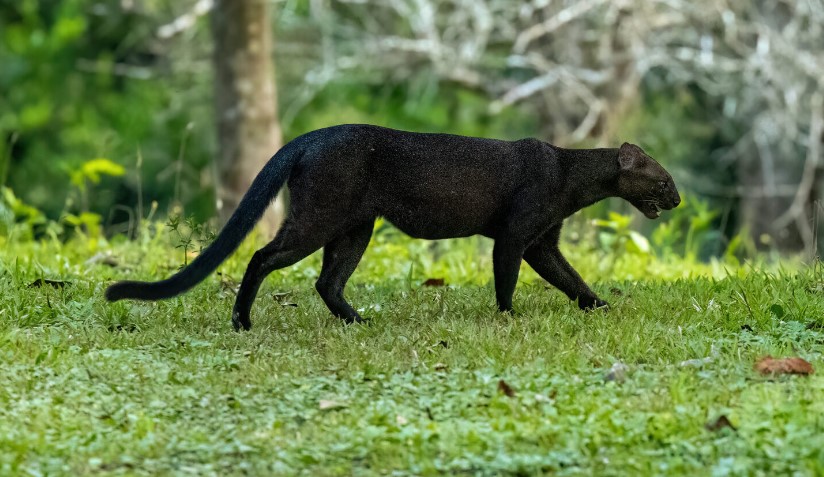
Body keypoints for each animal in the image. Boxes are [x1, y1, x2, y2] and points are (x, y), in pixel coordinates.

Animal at [104, 124, 684, 330]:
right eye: (664, 178)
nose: (678, 199)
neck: (570, 177)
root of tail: (308, 137)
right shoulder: (517, 236)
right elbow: (507, 279)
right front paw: (508, 317)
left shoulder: (543, 241)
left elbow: (572, 279)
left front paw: (601, 306)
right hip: (320, 218)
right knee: (261, 257)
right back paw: (242, 322)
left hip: (354, 228)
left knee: (327, 280)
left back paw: (358, 321)